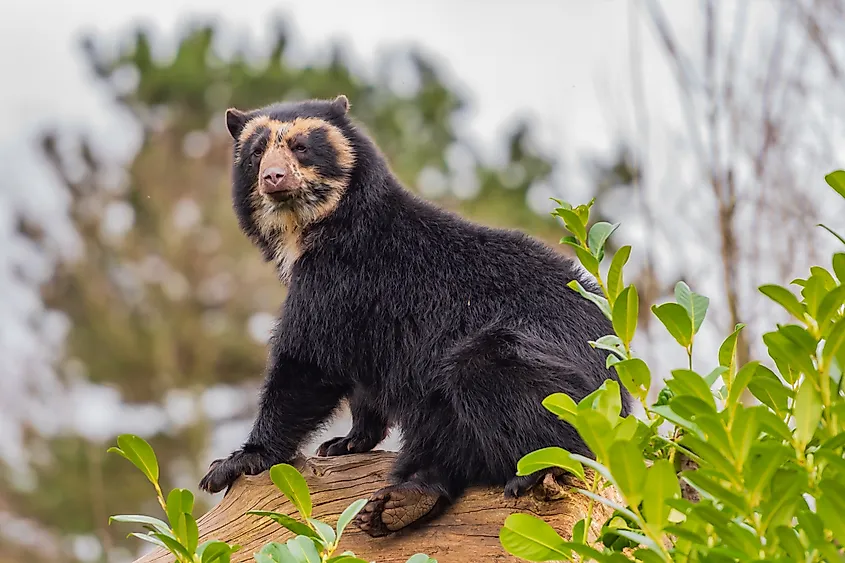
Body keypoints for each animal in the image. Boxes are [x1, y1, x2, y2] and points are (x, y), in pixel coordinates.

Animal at [198, 94, 632, 537]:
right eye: (256, 152)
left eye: (302, 147)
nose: (273, 177)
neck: (315, 228)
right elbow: (357, 375)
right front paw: (347, 442)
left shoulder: (340, 279)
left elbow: (308, 361)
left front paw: (237, 461)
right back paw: (403, 501)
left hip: (573, 389)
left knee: (486, 372)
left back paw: (539, 470)